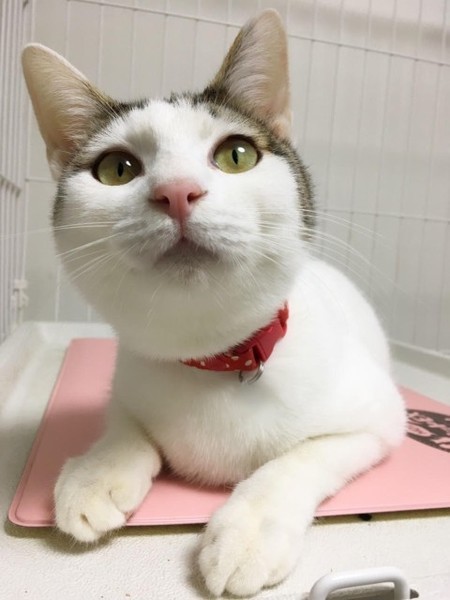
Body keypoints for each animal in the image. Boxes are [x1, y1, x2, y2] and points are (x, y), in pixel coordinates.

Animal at [22, 9, 405, 598]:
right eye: (116, 169)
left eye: (237, 154)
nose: (177, 191)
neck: (215, 359)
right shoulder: (127, 377)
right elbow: (124, 424)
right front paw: (97, 472)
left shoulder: (378, 419)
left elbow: (298, 459)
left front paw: (249, 530)